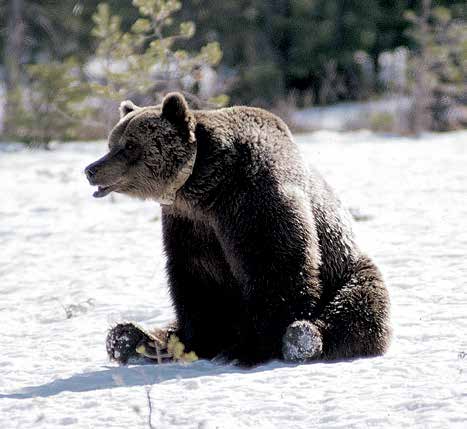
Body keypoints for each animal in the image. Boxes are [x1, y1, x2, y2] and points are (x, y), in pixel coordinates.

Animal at [85, 93, 392, 364]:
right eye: (112, 142)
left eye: (129, 145)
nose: (91, 169)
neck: (203, 187)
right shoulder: (189, 225)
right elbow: (196, 280)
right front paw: (196, 342)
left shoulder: (253, 201)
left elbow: (275, 265)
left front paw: (249, 349)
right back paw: (131, 338)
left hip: (346, 268)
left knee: (356, 306)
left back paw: (305, 337)